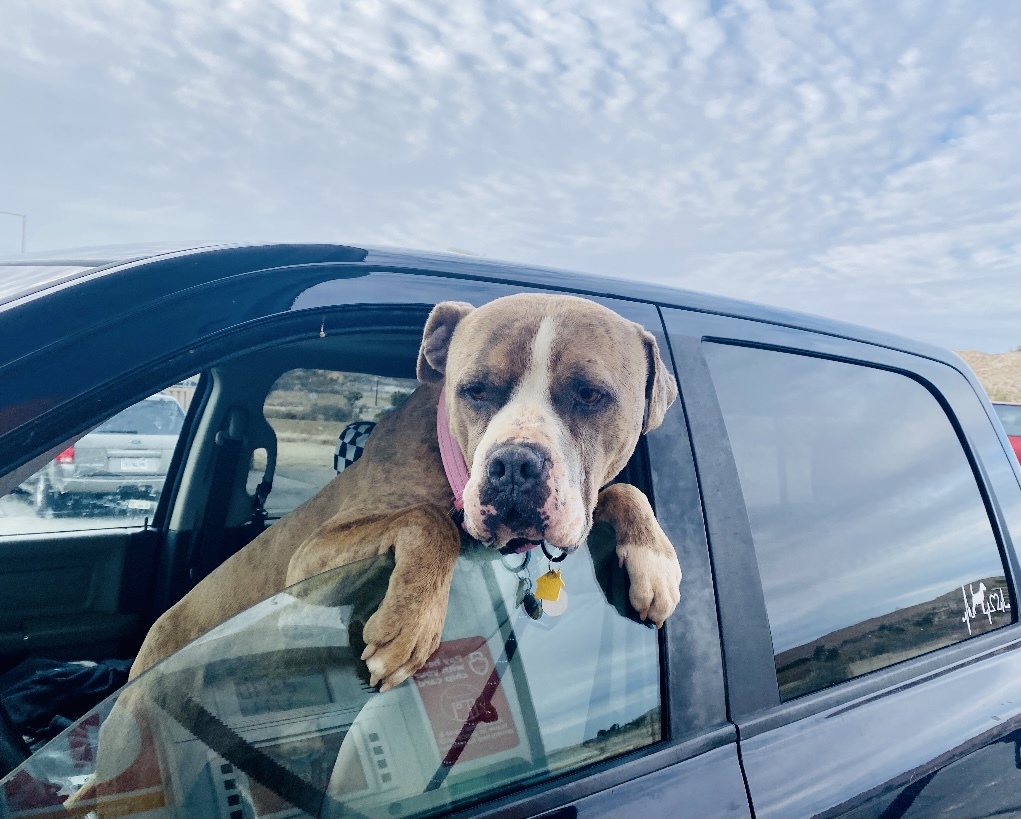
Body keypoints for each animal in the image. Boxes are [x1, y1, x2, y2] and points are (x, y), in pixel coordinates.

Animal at [131, 294, 682, 690]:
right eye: (474, 389)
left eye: (589, 395)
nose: (513, 466)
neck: (451, 467)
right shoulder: (310, 561)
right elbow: (427, 519)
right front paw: (410, 623)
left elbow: (623, 490)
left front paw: (654, 559)